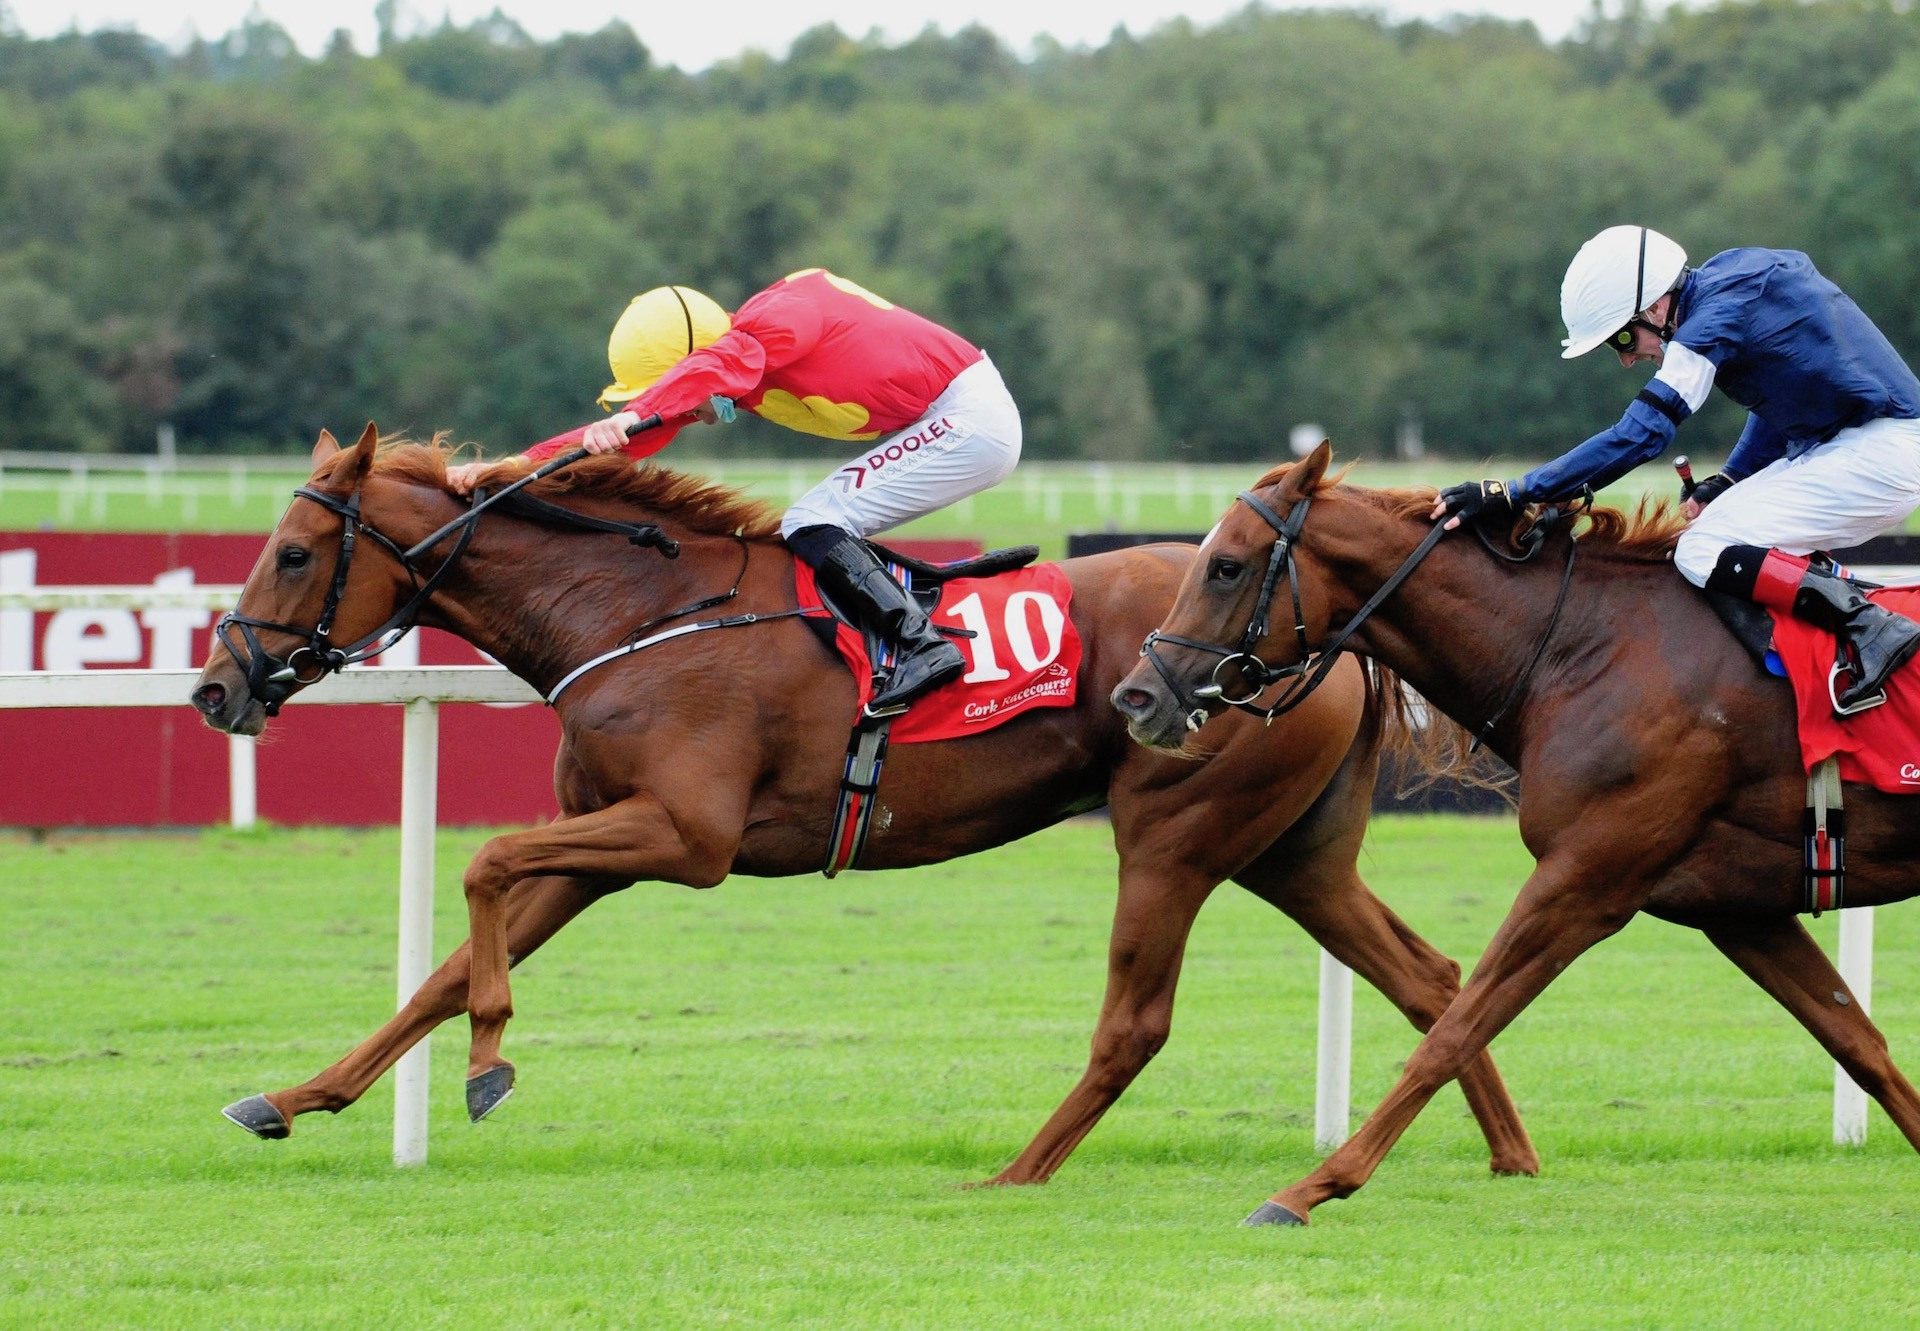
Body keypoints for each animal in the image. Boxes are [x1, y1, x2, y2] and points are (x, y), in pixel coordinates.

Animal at [191, 426, 1543, 1183]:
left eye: (295, 552)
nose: (216, 684)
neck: (639, 615)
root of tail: (1334, 642)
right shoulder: (599, 847)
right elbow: (443, 962)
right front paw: (297, 1095)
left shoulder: (684, 835)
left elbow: (479, 863)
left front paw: (487, 1063)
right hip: (1292, 852)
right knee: (1433, 978)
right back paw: (1508, 1151)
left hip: (1177, 828)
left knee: (1137, 1020)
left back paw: (1019, 1171)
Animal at [1113, 441, 1920, 1221]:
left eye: (1225, 565)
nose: (1138, 695)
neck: (1588, 647)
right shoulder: (1735, 906)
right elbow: (1857, 1038)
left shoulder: (1583, 880)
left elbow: (1454, 1030)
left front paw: (1307, 1190)